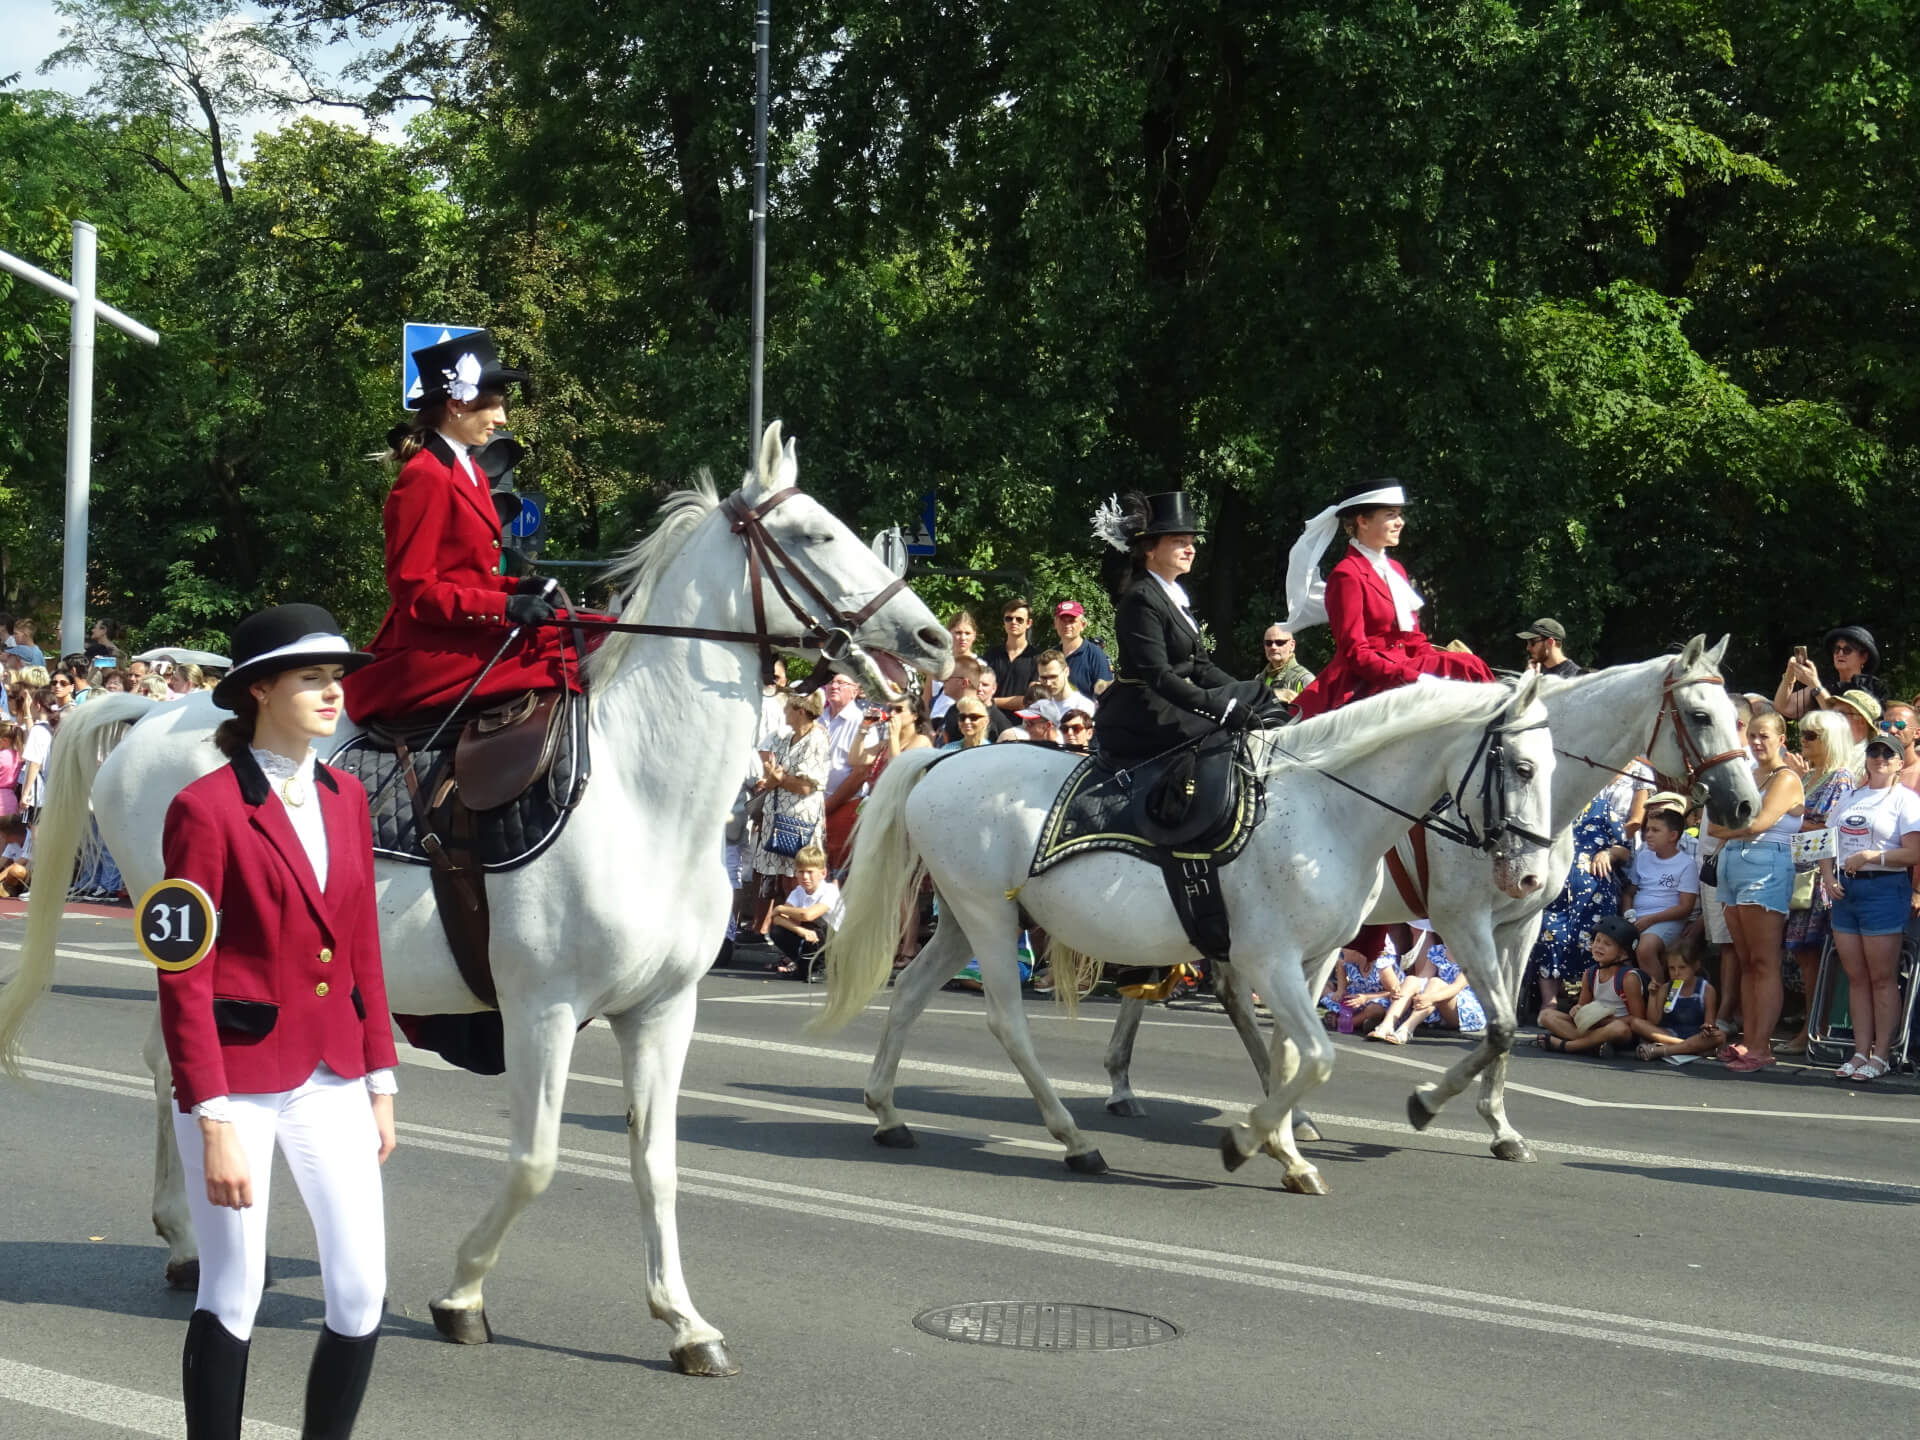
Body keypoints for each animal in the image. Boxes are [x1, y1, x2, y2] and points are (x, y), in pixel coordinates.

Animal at [0, 422, 952, 1382]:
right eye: (815, 534)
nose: (934, 638)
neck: (645, 796)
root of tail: (155, 716)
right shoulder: (541, 1008)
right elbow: (535, 1159)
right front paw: (461, 1294)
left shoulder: (662, 1010)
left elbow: (656, 1164)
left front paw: (684, 1322)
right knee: (183, 1070)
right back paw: (193, 1242)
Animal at [821, 675, 1559, 1198]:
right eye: (1522, 769)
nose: (1529, 875)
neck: (1328, 811)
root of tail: (941, 761)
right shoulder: (1270, 960)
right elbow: (1318, 1057)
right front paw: (1247, 1141)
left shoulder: (1311, 960)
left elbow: (1291, 1057)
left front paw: (1289, 1154)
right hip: (988, 919)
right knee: (1007, 1024)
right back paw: (1074, 1141)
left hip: (961, 920)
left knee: (911, 993)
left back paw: (887, 1115)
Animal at [1105, 641, 1758, 1159]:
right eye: (1701, 715)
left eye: (1739, 717)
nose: (1745, 806)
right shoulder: (1462, 920)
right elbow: (1499, 1024)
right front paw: (1428, 1103)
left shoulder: (1521, 924)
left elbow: (1502, 1026)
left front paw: (1500, 1128)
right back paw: (1139, 1087)